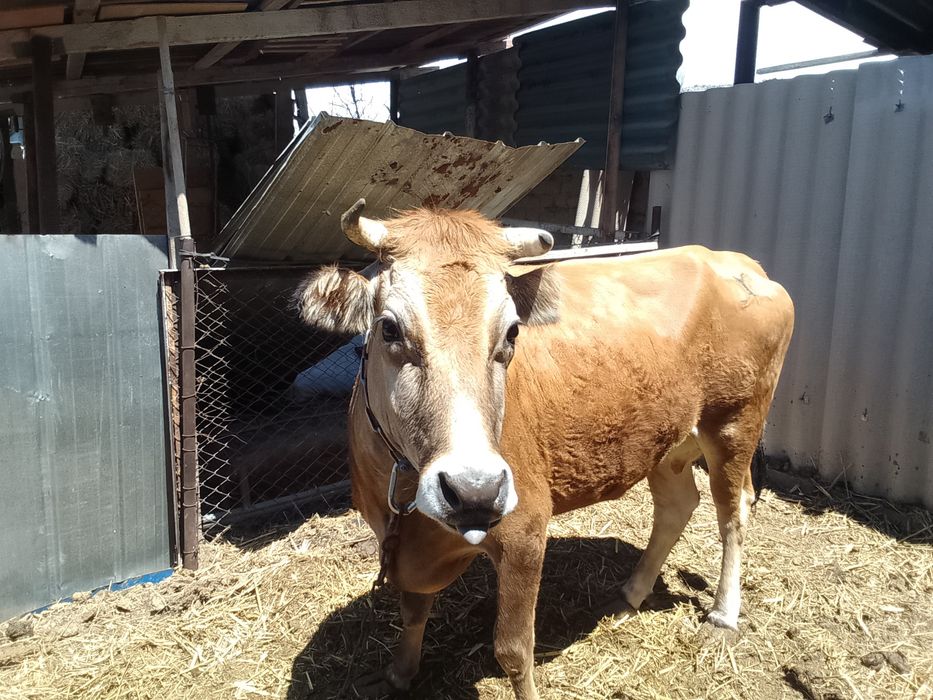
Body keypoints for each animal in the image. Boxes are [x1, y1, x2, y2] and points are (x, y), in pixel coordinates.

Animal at [295, 201, 794, 699]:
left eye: (512, 332)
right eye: (389, 329)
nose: (474, 489)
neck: (406, 504)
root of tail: (736, 261)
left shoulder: (525, 529)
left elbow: (514, 650)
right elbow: (413, 610)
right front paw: (399, 673)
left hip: (735, 420)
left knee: (733, 511)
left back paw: (723, 615)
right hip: (666, 439)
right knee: (677, 505)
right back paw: (631, 593)